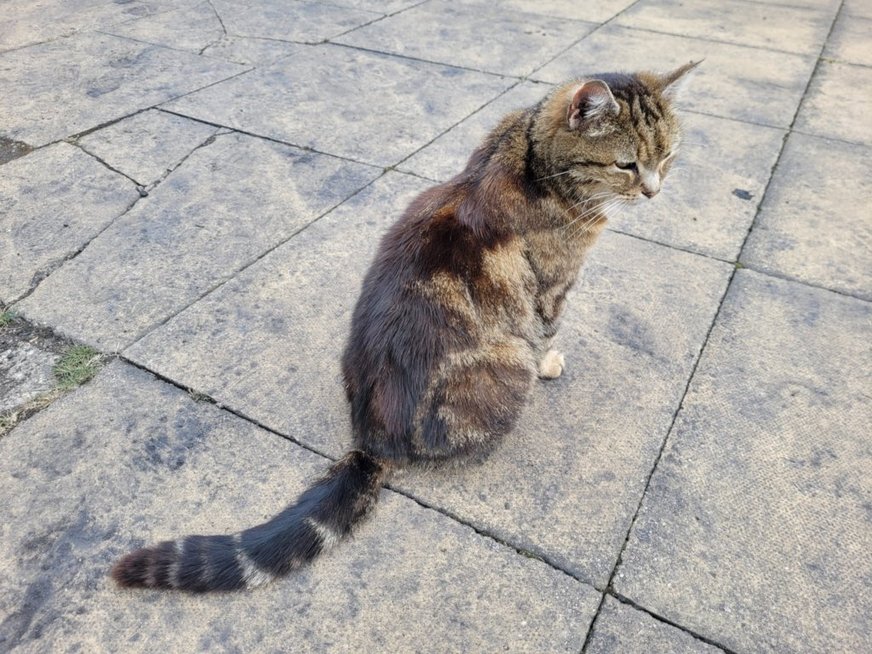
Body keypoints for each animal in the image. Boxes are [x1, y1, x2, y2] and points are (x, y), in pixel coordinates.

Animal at [112, 62, 700, 596]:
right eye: (626, 164)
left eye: (669, 157)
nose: (655, 192)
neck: (532, 156)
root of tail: (372, 439)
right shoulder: (552, 289)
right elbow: (549, 331)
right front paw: (551, 362)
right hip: (506, 364)